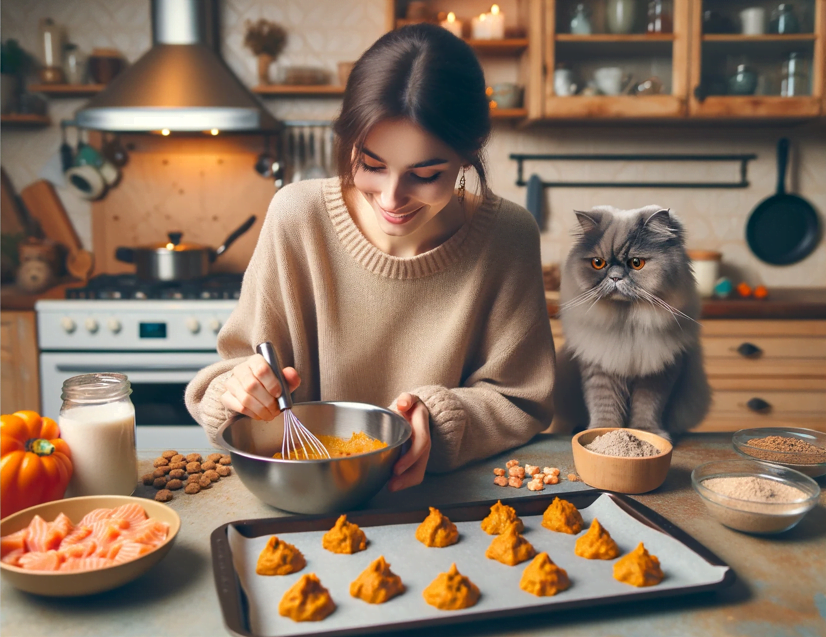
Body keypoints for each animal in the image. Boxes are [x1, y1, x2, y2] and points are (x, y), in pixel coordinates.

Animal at [548, 206, 708, 440]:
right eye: (598, 263)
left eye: (636, 263)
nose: (615, 278)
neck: (626, 324)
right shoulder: (600, 368)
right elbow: (604, 405)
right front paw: (603, 431)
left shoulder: (656, 373)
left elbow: (647, 407)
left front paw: (646, 432)